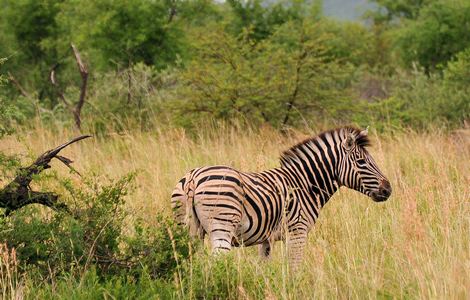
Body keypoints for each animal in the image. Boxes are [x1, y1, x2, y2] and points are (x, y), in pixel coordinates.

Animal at [171, 126, 392, 270]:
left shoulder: (267, 239)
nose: (388, 190)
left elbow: (264, 269)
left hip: (188, 231)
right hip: (222, 226)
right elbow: (294, 269)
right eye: (362, 162)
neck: (305, 184)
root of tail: (192, 178)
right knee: (215, 264)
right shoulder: (298, 232)